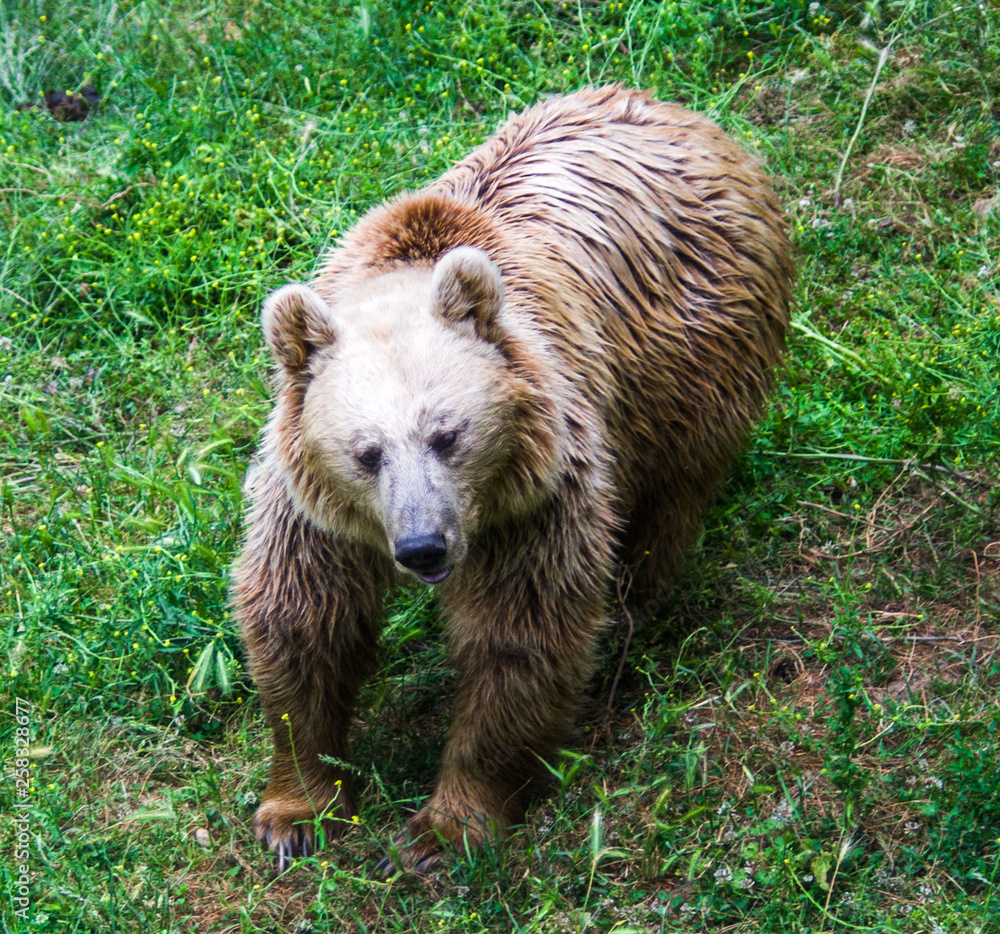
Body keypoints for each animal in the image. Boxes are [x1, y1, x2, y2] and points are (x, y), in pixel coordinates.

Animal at [231, 85, 793, 873]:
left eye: (448, 435)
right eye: (367, 452)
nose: (422, 548)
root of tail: (683, 115)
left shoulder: (533, 499)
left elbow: (519, 638)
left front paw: (440, 829)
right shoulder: (314, 511)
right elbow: (303, 623)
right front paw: (297, 812)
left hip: (694, 354)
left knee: (673, 492)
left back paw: (635, 604)